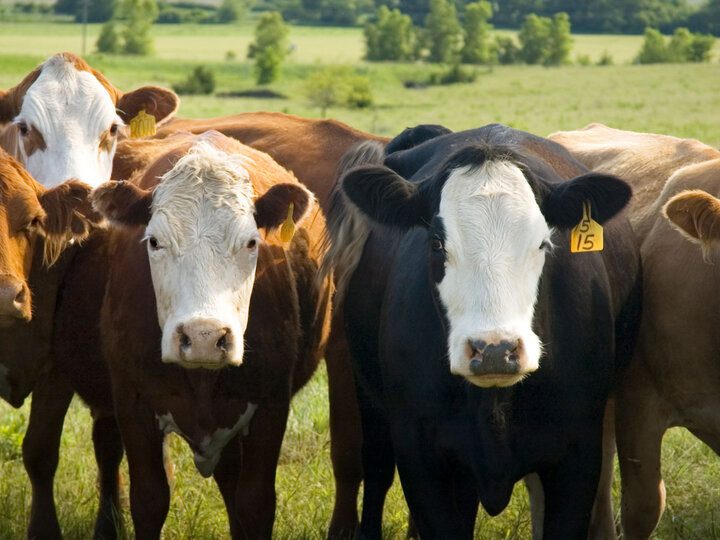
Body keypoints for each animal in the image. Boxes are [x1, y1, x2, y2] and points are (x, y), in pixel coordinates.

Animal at [90, 132, 334, 540]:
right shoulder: (131, 402)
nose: (203, 336)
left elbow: (255, 503)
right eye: (154, 241)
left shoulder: (271, 404)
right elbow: (149, 499)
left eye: (251, 242)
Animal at [324, 124, 640, 536]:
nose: (494, 350)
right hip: (370, 400)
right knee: (376, 469)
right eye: (437, 243)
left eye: (543, 242)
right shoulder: (419, 454)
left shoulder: (579, 453)